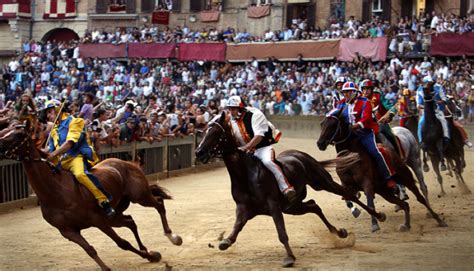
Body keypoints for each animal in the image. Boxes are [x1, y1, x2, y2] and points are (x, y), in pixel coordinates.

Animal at [0, 124, 181, 271]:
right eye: (4, 129)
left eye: (18, 134)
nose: (0, 143)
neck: (56, 192)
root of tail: (127, 163)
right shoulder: (67, 231)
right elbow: (90, 249)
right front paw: (149, 255)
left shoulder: (97, 220)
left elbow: (122, 243)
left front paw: (151, 254)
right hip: (115, 214)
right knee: (130, 221)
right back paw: (147, 250)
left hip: (139, 196)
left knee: (159, 203)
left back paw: (172, 237)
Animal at [194, 112, 386, 268]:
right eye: (204, 131)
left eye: (216, 132)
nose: (199, 152)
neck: (246, 174)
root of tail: (301, 155)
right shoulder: (244, 207)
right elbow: (237, 227)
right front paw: (225, 241)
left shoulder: (273, 205)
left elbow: (282, 233)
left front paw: (289, 257)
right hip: (293, 206)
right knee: (314, 205)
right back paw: (339, 232)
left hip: (323, 182)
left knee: (348, 195)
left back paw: (378, 216)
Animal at [316, 111, 446, 233]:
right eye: (322, 124)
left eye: (333, 125)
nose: (320, 143)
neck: (349, 156)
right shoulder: (347, 185)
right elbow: (349, 199)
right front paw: (356, 211)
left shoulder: (367, 183)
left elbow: (370, 203)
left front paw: (375, 224)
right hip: (384, 191)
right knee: (405, 204)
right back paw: (406, 224)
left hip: (409, 171)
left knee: (420, 195)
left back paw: (437, 218)